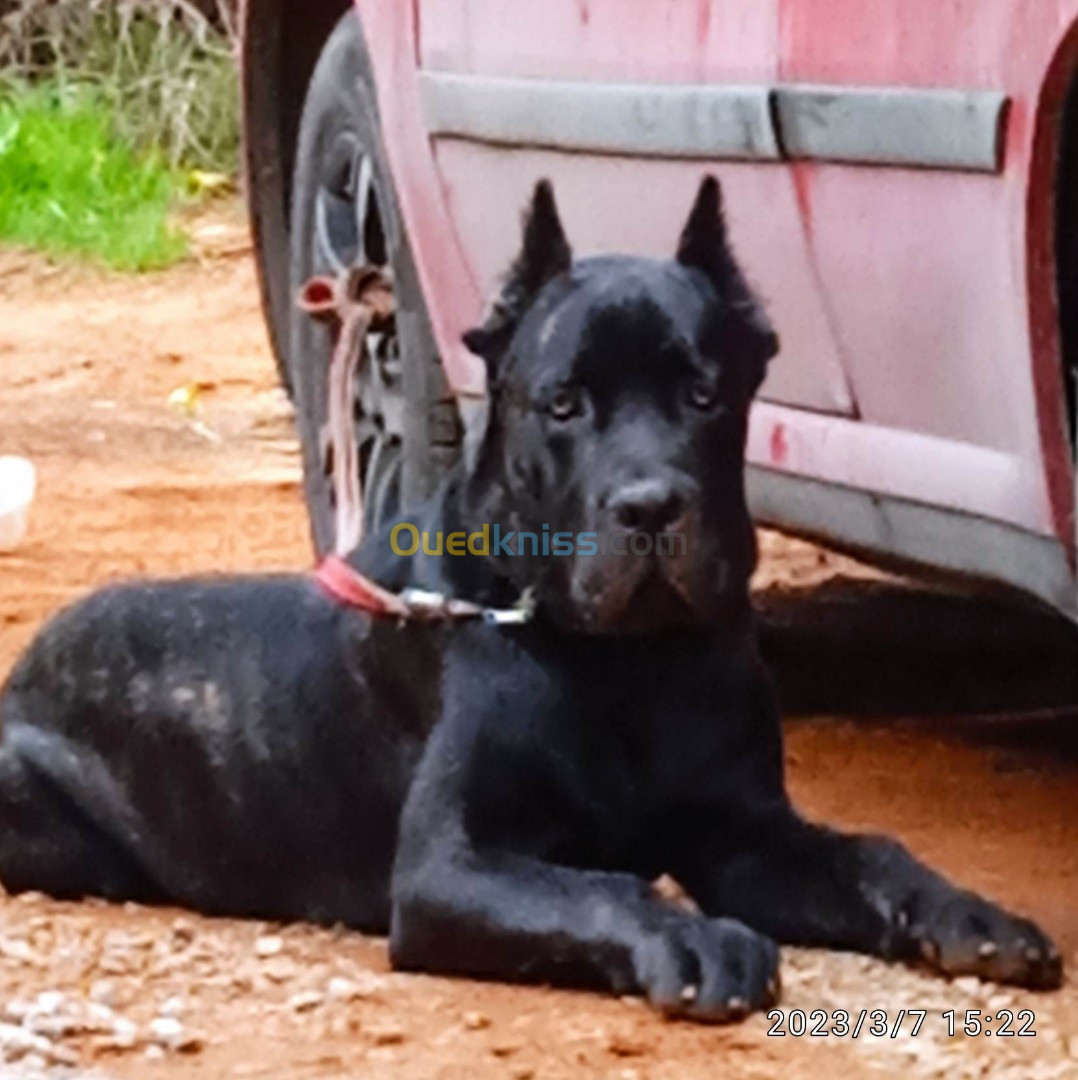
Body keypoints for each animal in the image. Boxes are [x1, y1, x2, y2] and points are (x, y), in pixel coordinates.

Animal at [0, 179, 1062, 1019]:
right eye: (563, 403)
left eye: (705, 395)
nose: (649, 505)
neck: (627, 659)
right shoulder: (454, 864)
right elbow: (599, 888)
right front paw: (695, 940)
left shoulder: (742, 831)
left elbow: (870, 853)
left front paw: (972, 914)